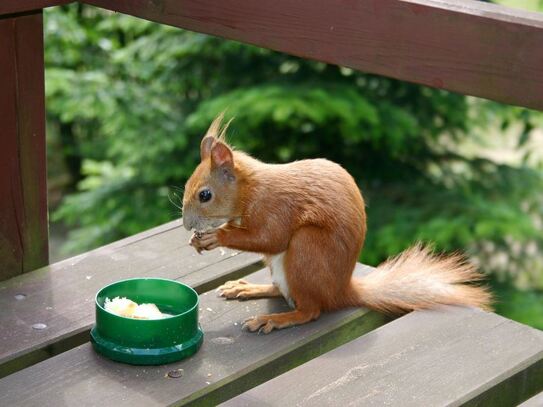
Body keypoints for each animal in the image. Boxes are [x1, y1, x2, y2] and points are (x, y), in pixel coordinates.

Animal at [183, 114, 492, 334]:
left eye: (205, 195)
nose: (186, 224)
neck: (250, 190)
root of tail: (341, 292)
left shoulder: (277, 208)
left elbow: (270, 238)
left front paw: (216, 237)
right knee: (281, 290)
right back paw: (248, 288)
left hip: (306, 249)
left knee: (310, 310)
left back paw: (276, 319)